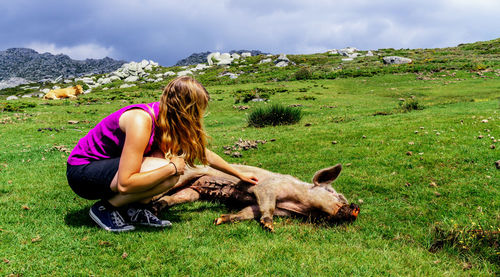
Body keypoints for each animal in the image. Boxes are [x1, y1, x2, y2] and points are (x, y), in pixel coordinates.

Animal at [152, 162, 360, 231]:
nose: (356, 207)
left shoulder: (275, 210)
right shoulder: (266, 189)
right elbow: (267, 206)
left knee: (174, 198)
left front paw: (219, 220)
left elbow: (248, 213)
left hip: (193, 192)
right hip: (183, 176)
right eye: (333, 193)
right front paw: (269, 227)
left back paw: (156, 207)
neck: (296, 204)